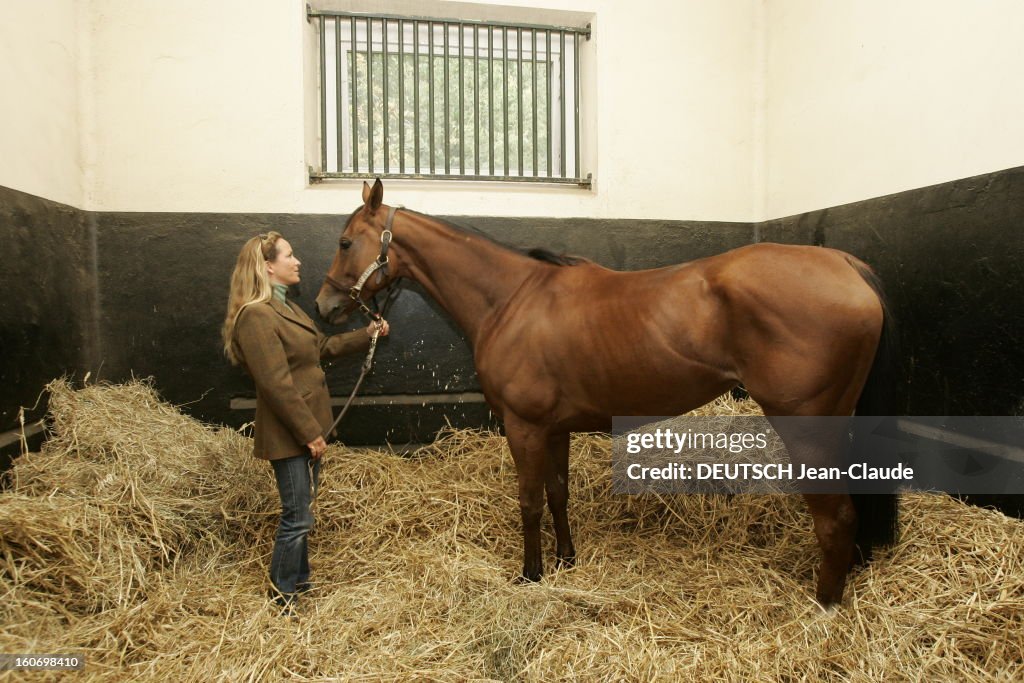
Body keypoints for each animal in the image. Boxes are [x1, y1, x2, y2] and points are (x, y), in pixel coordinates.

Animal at [313, 179, 897, 606]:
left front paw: (531, 574)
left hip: (807, 428)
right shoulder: (554, 429)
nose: (324, 307)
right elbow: (557, 495)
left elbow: (529, 502)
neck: (512, 299)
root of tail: (846, 265)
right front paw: (566, 561)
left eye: (344, 242)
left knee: (835, 519)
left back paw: (823, 606)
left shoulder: (525, 428)